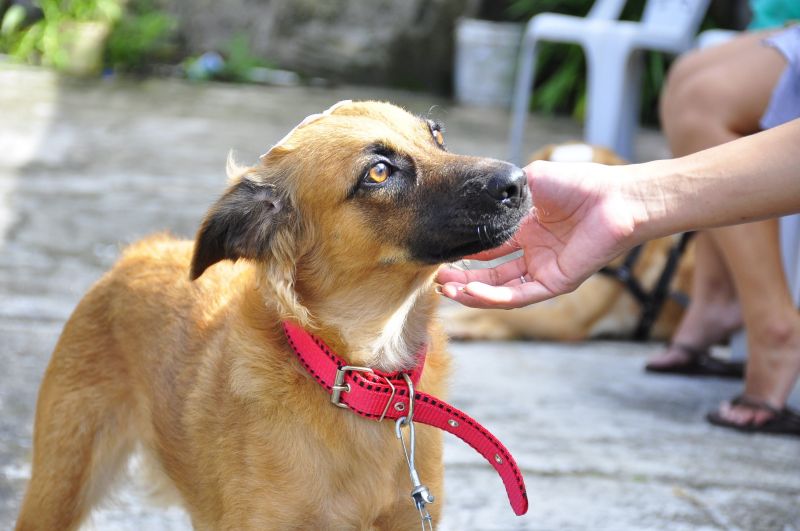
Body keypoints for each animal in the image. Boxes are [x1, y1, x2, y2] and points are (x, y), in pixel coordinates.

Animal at [14, 101, 532, 531]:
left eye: (437, 135)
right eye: (379, 172)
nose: (520, 181)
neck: (358, 377)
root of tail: (139, 252)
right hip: (58, 486)